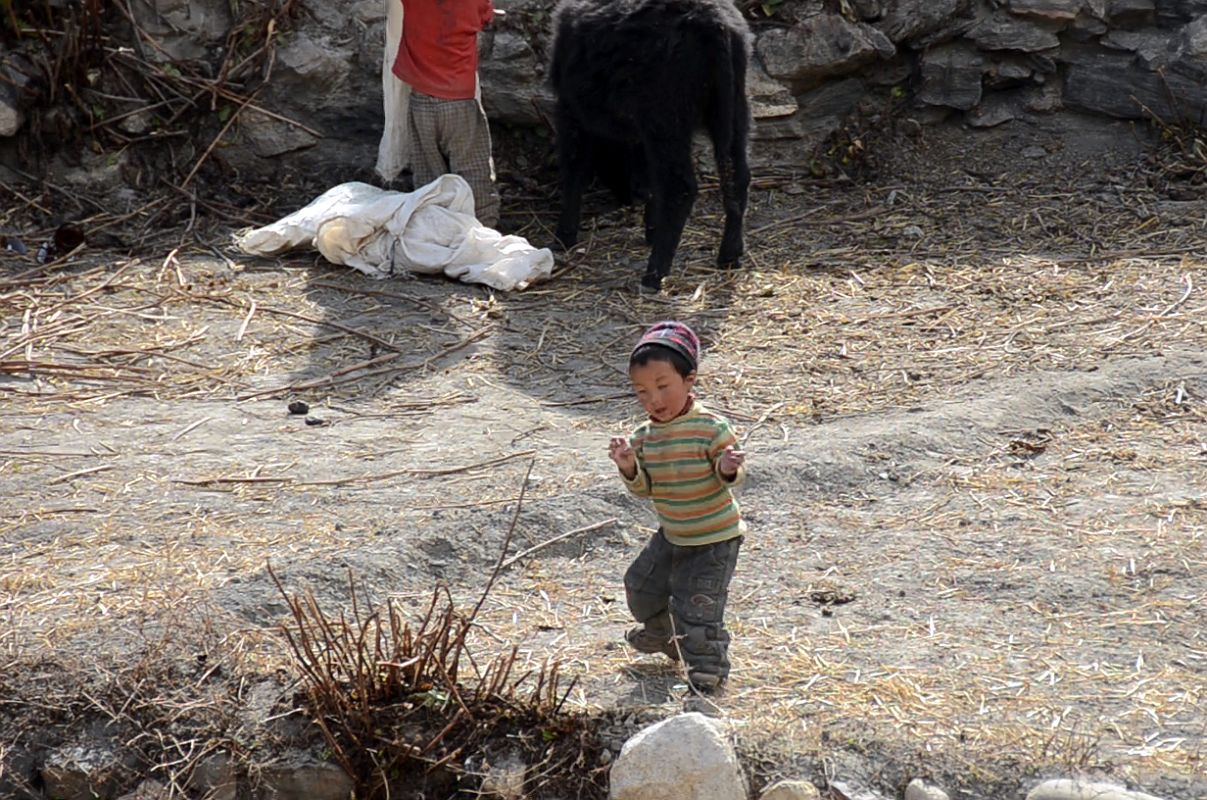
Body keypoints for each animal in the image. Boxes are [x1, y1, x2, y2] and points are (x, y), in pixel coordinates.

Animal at [548, 0, 753, 291]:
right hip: (733, 108)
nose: (626, 197)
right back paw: (729, 256)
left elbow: (575, 169)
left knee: (680, 188)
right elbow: (649, 179)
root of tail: (713, 23)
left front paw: (564, 236)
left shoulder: (571, 111)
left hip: (666, 116)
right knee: (737, 176)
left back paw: (654, 274)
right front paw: (652, 228)